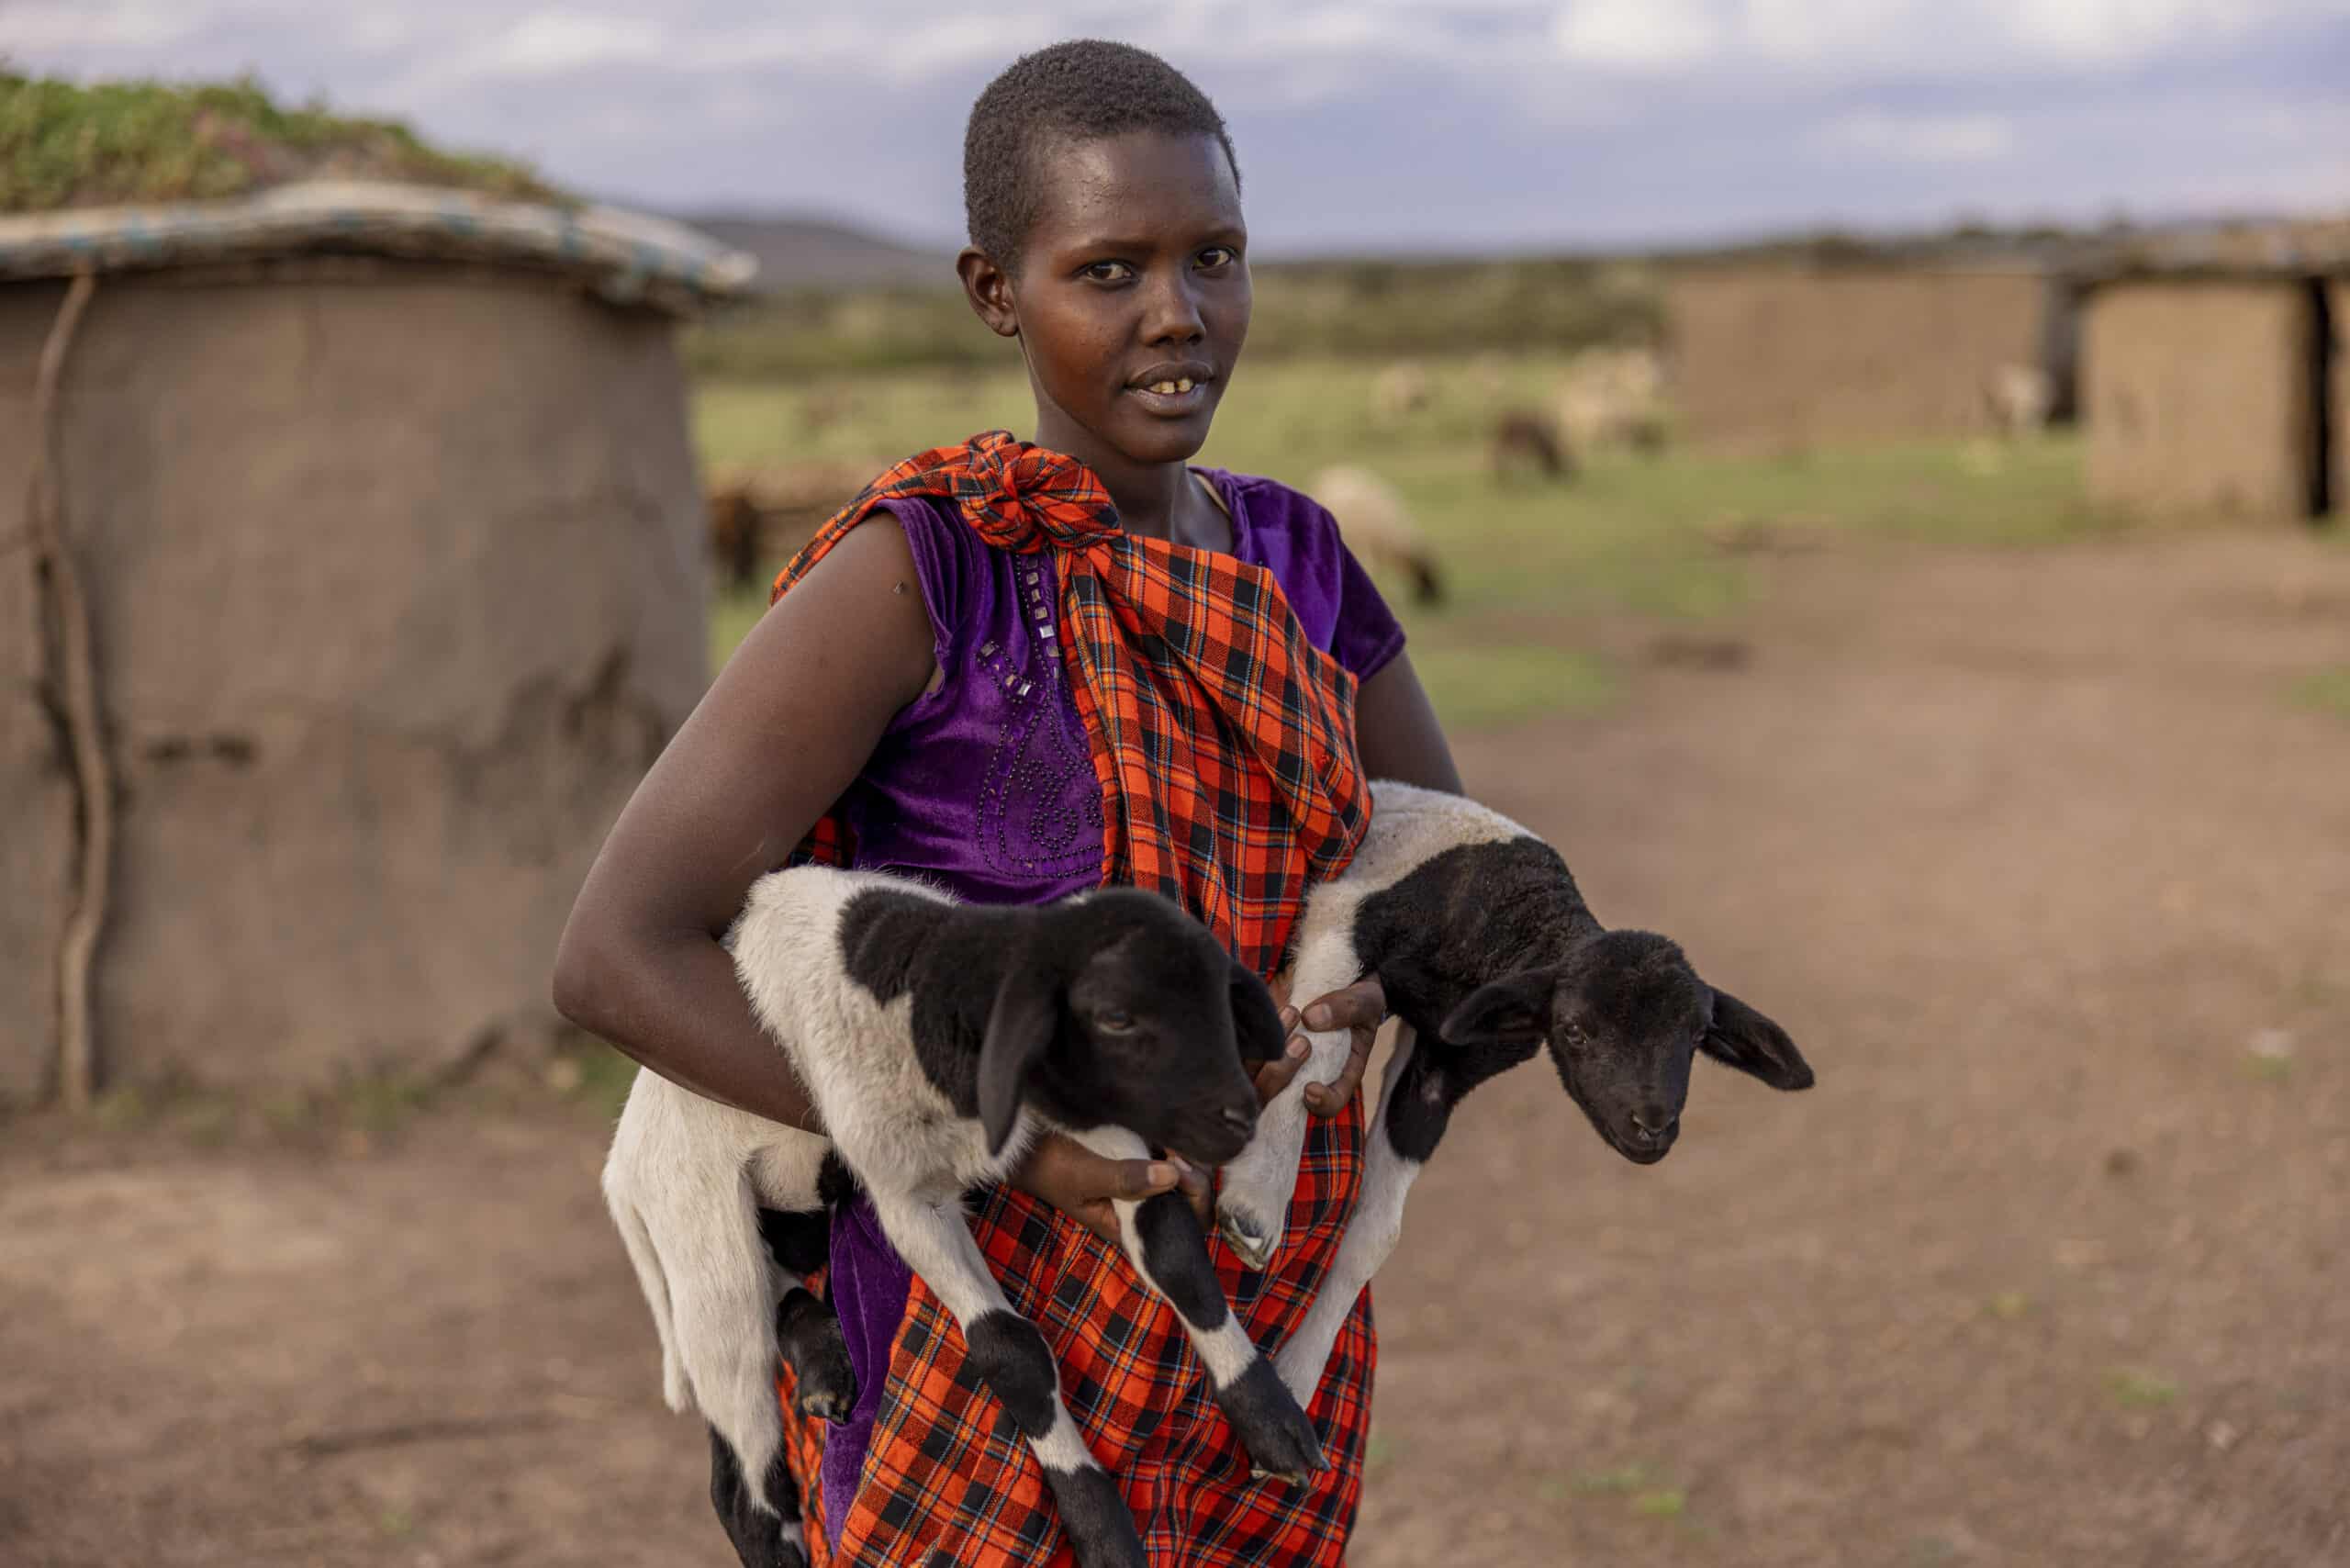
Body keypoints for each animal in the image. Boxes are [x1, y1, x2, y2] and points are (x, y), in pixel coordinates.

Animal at [1203, 785, 1805, 1410]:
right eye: (1574, 1031)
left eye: (1697, 1037)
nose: (1653, 1127)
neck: (1514, 923)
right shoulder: (1346, 918)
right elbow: (1312, 1045)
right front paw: (1255, 1206)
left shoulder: (1446, 1063)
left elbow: (1375, 1233)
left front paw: (1298, 1376)